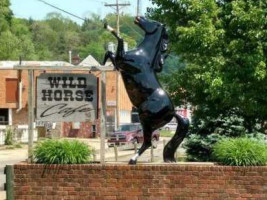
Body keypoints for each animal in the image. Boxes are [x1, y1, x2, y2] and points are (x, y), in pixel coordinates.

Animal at [103, 16, 189, 164]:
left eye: (153, 22)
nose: (138, 18)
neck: (143, 54)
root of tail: (173, 112)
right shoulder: (119, 60)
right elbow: (109, 53)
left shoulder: (122, 60)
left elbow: (119, 39)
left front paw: (108, 27)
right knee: (147, 142)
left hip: (145, 119)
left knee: (148, 142)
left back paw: (132, 160)